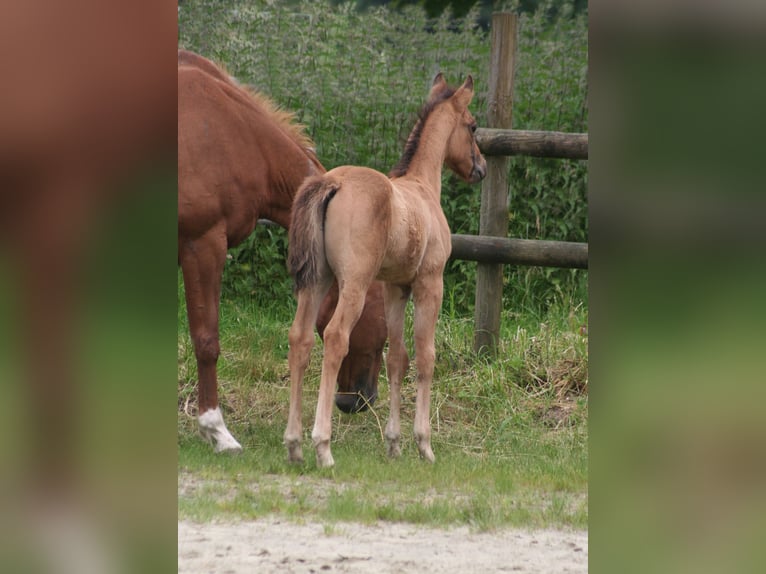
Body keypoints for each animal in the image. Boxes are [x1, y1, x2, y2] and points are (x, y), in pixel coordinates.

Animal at [178, 50, 388, 454]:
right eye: (378, 310)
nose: (356, 400)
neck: (236, 132)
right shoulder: (203, 245)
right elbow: (206, 340)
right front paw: (216, 431)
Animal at [284, 73, 488, 468]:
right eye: (472, 126)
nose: (481, 169)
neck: (422, 187)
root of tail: (332, 182)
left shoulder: (396, 288)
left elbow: (396, 359)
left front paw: (393, 443)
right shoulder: (429, 284)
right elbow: (425, 357)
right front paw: (424, 444)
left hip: (318, 281)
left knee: (300, 338)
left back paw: (294, 443)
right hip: (354, 284)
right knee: (335, 337)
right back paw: (322, 446)